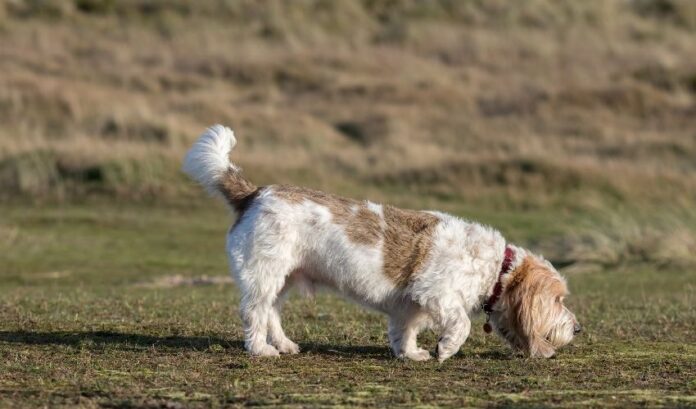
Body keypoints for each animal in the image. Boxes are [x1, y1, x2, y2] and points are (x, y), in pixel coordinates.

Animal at [182, 124, 580, 360]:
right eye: (558, 299)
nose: (578, 328)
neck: (497, 268)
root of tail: (254, 193)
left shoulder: (411, 305)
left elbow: (405, 330)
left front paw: (411, 353)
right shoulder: (439, 294)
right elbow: (461, 325)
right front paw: (446, 348)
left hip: (283, 279)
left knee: (272, 313)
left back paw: (283, 344)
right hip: (264, 276)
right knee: (254, 312)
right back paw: (261, 349)